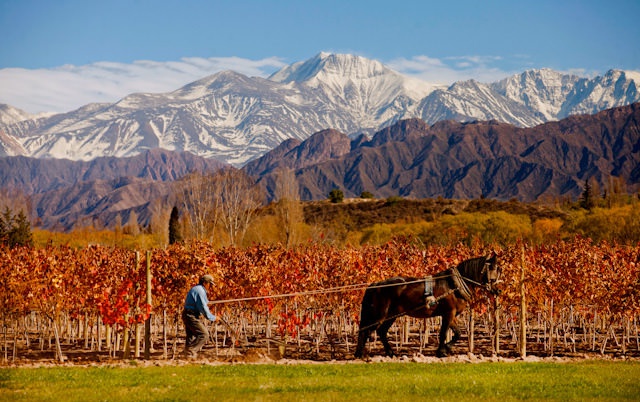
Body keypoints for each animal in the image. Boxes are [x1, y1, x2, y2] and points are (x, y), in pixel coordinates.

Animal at [356, 254, 500, 358]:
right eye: (493, 269)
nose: (498, 290)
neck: (454, 285)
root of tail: (376, 284)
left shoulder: (450, 315)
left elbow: (457, 333)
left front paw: (445, 349)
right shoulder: (449, 313)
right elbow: (443, 333)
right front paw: (441, 351)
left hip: (391, 315)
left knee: (381, 331)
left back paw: (390, 353)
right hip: (379, 315)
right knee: (366, 330)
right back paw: (361, 354)